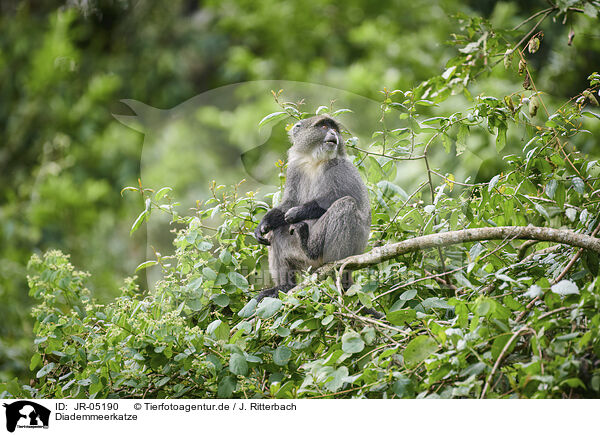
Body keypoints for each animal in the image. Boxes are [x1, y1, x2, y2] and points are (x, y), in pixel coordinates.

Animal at [253, 114, 370, 302]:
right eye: (323, 127)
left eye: (334, 129)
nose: (333, 134)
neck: (315, 161)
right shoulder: (295, 168)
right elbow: (289, 202)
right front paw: (265, 223)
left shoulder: (341, 168)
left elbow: (340, 198)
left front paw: (297, 212)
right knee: (277, 234)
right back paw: (284, 286)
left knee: (346, 204)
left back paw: (321, 256)